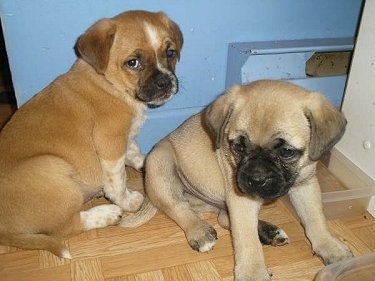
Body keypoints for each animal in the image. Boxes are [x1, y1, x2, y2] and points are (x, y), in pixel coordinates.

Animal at [0, 9, 184, 258]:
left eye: (170, 52)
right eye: (133, 63)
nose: (165, 82)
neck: (110, 84)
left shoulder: (126, 137)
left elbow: (134, 152)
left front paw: (146, 164)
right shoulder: (110, 143)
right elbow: (117, 179)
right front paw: (127, 201)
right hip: (52, 168)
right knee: (65, 229)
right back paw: (106, 214)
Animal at [122, 80, 352, 278]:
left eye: (287, 152)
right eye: (238, 147)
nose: (256, 179)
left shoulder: (306, 184)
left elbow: (315, 219)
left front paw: (330, 247)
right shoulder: (241, 200)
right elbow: (247, 240)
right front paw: (253, 273)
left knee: (224, 219)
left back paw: (269, 232)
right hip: (161, 163)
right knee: (179, 208)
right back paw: (200, 233)